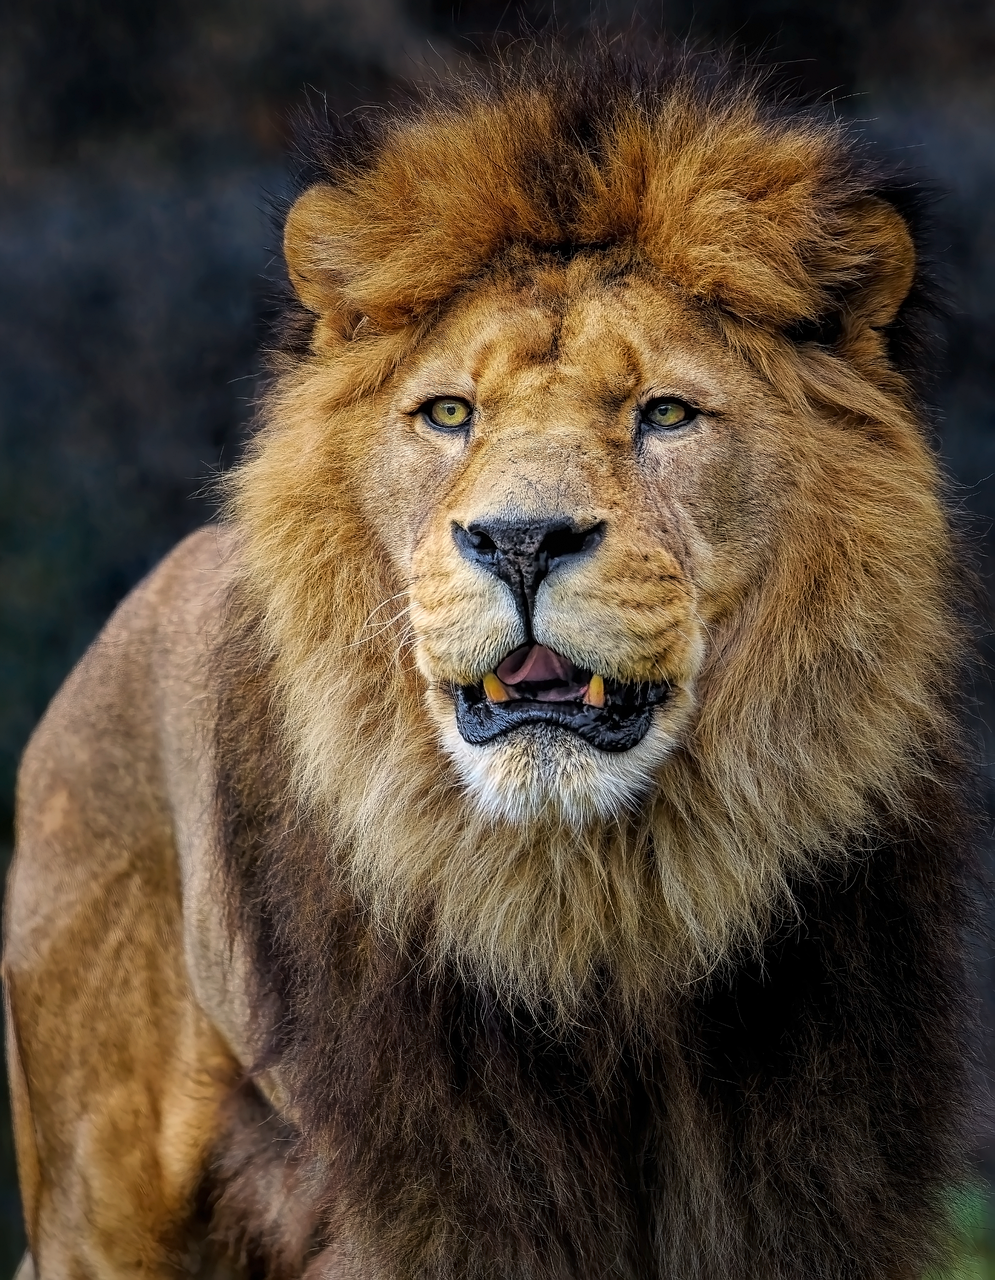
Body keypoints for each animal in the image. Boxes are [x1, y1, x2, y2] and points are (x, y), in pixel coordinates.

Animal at [3, 48, 979, 1280]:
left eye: (665, 413)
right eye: (449, 413)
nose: (520, 539)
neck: (607, 904)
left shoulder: (805, 1188)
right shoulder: (433, 1200)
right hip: (97, 1189)